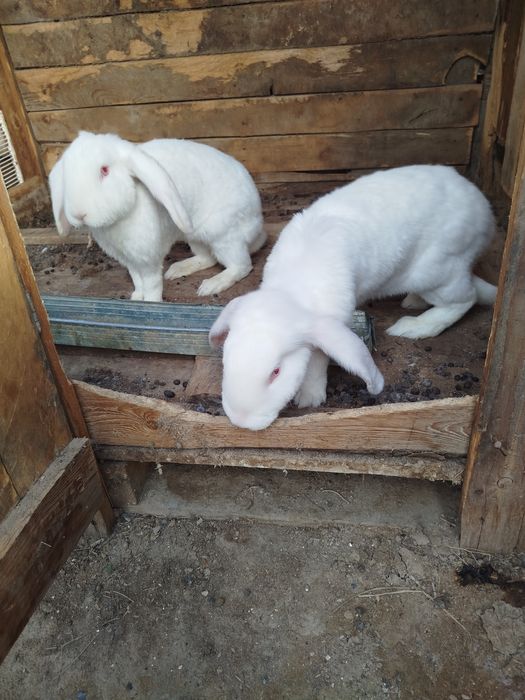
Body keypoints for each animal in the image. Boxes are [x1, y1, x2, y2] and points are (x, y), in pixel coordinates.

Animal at [48, 131, 266, 302]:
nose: (79, 213)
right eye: (67, 174)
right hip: (194, 236)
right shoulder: (129, 261)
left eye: (104, 170)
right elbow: (137, 281)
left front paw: (151, 302)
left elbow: (151, 284)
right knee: (207, 258)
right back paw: (178, 269)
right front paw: (137, 297)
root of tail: (257, 226)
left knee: (241, 266)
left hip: (225, 237)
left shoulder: (148, 260)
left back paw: (211, 285)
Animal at [209, 164, 497, 431]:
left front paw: (309, 396)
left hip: (437, 272)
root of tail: (484, 211)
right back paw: (414, 302)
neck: (290, 293)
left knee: (464, 299)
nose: (240, 420)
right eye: (226, 360)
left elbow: (317, 359)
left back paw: (414, 326)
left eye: (276, 372)